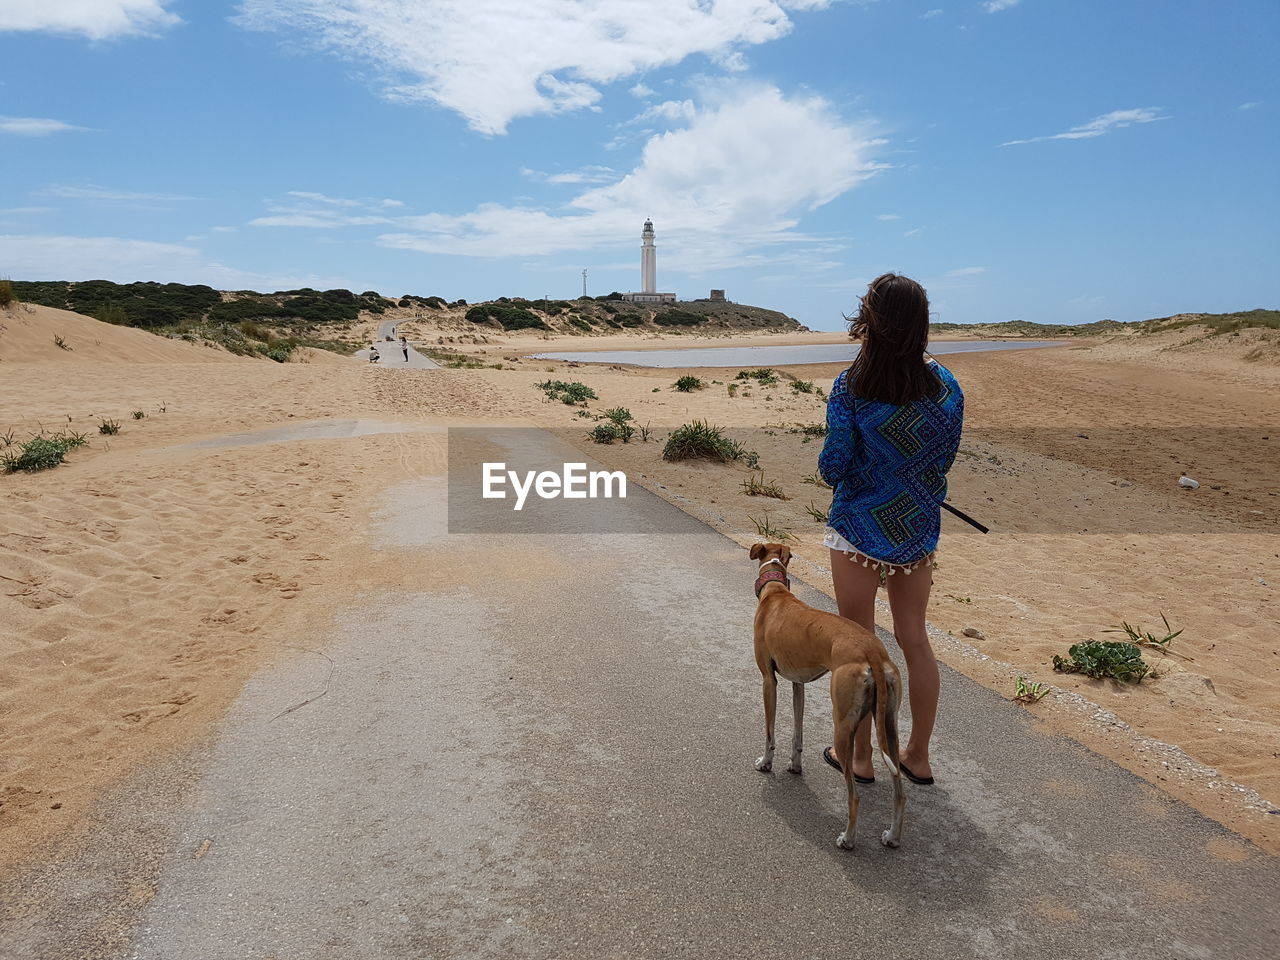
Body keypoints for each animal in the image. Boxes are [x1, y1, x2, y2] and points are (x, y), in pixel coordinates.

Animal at [752, 545, 906, 855]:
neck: (775, 592)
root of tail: (873, 650)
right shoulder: (798, 684)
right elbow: (797, 734)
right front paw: (795, 766)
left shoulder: (768, 681)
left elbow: (770, 733)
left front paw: (766, 762)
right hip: (889, 728)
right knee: (899, 789)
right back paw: (893, 836)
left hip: (843, 728)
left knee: (854, 795)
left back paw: (848, 839)